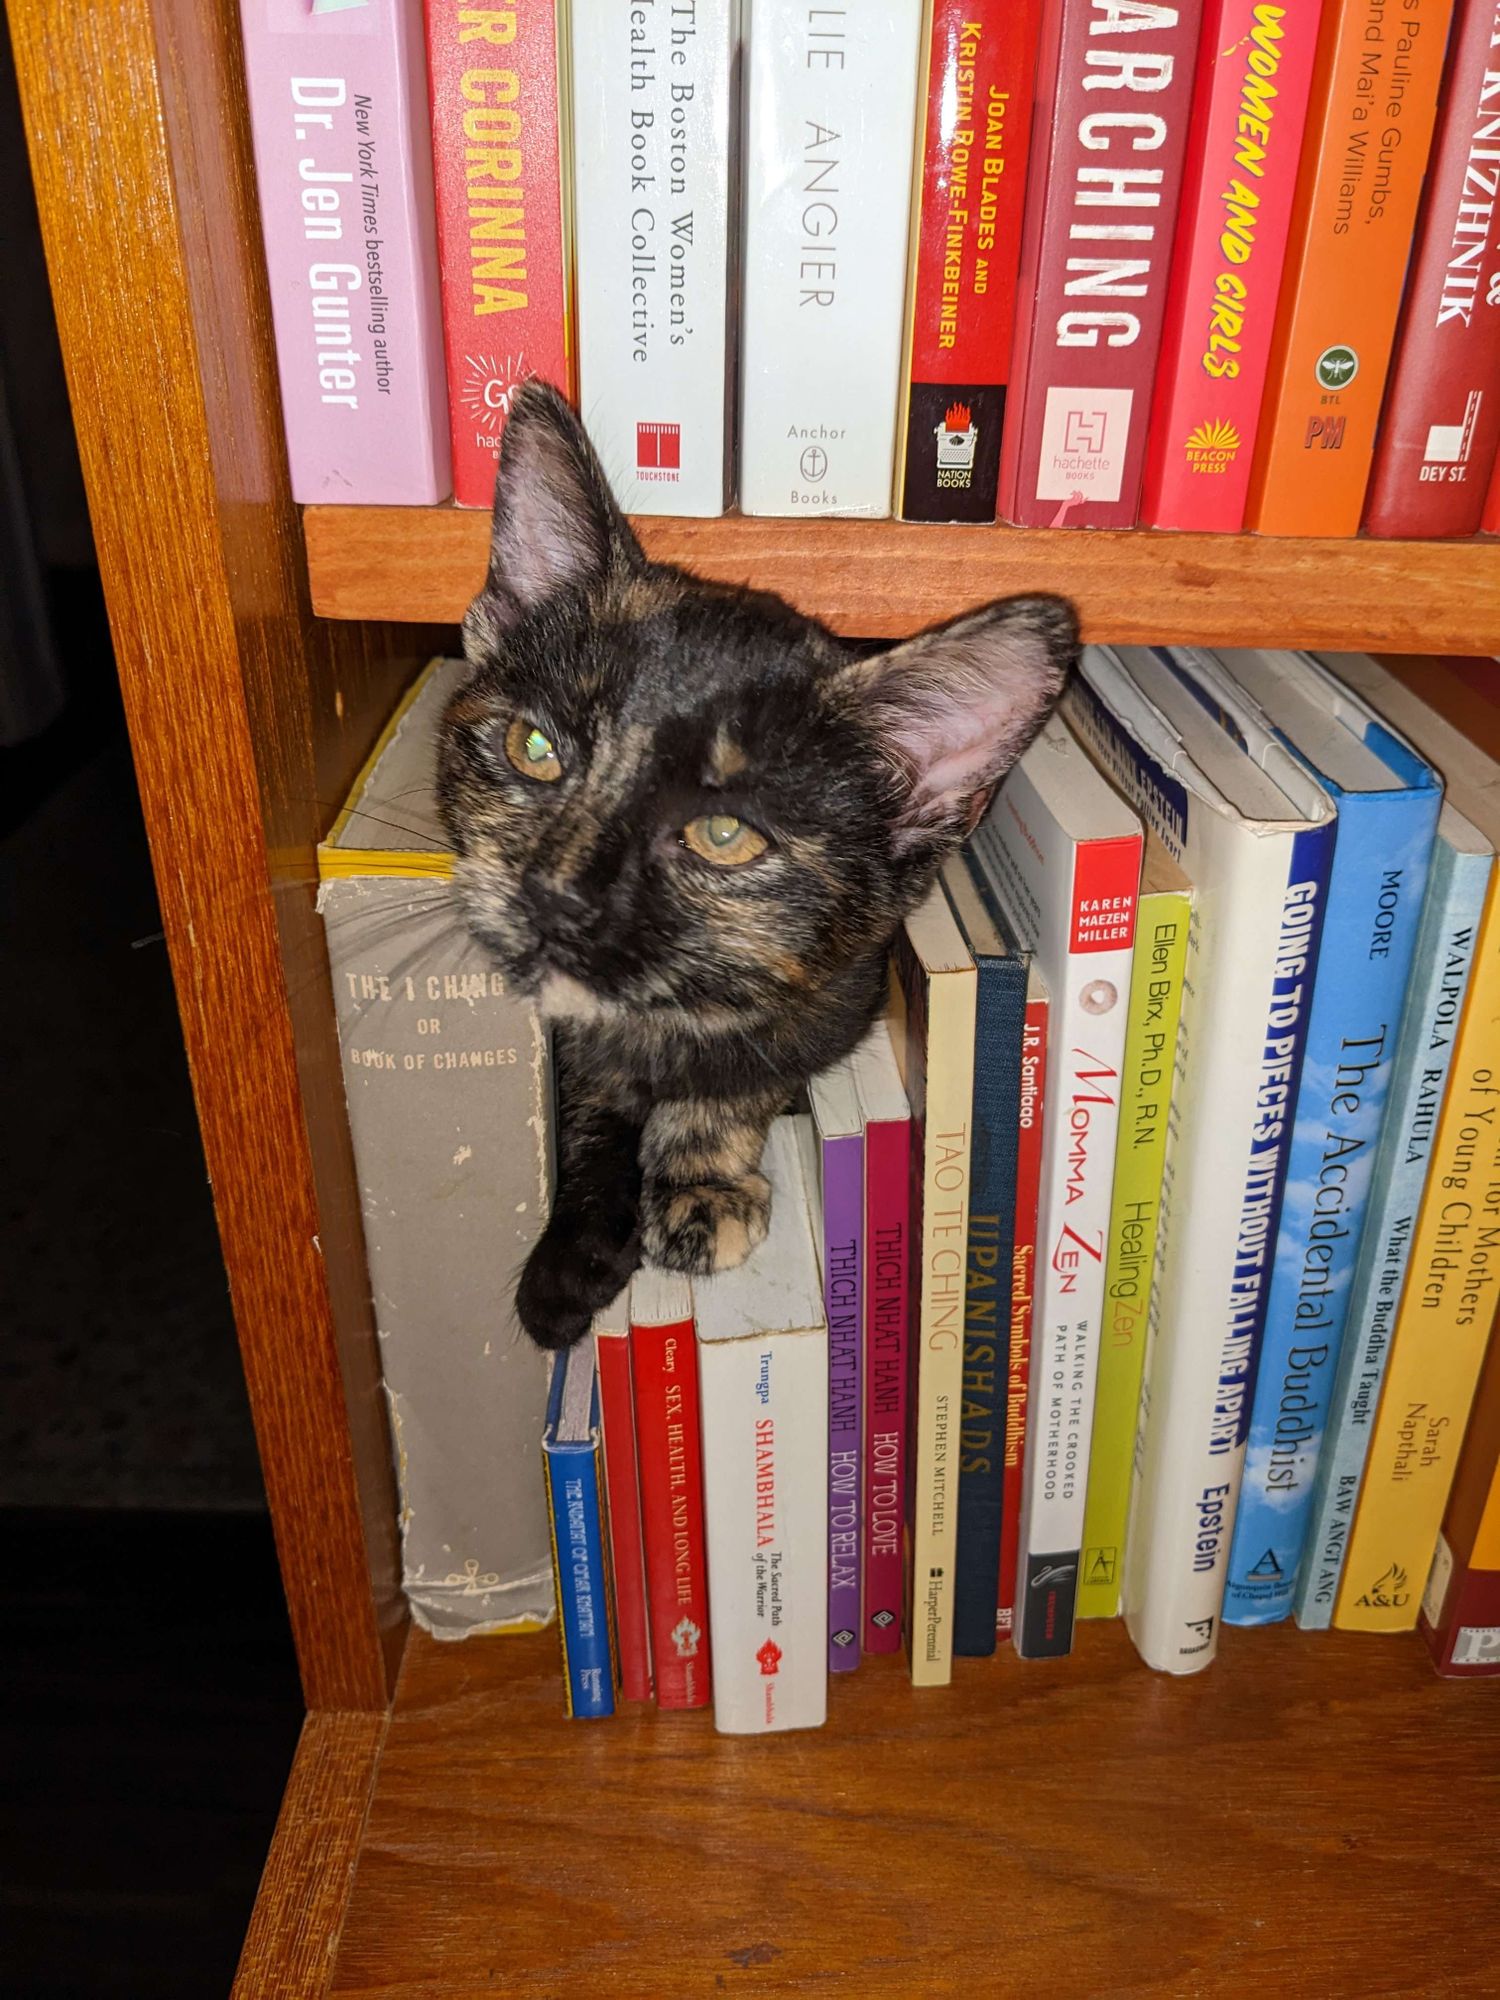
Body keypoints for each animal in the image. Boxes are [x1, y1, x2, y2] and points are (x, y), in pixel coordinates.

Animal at [438, 378, 1080, 1344]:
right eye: (535, 748)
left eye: (724, 835)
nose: (554, 895)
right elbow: (592, 1081)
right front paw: (576, 1250)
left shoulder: (832, 996)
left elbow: (739, 1078)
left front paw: (700, 1184)